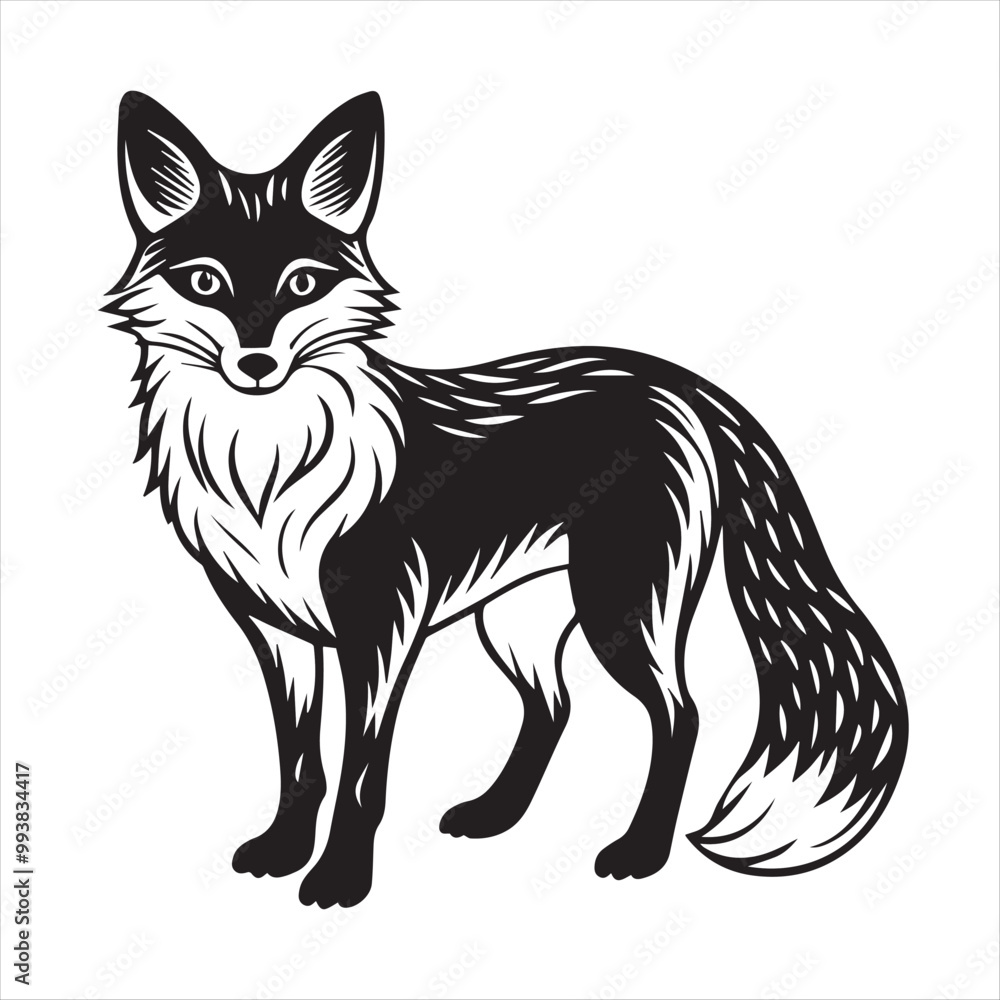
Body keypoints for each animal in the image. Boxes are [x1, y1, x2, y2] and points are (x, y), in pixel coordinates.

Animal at [105, 91, 907, 908]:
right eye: (205, 283)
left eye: (302, 284)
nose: (257, 363)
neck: (267, 470)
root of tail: (683, 384)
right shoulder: (278, 635)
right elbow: (301, 763)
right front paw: (282, 849)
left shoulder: (381, 633)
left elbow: (360, 775)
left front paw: (339, 878)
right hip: (518, 621)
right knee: (555, 706)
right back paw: (496, 814)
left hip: (618, 611)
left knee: (679, 715)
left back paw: (641, 852)